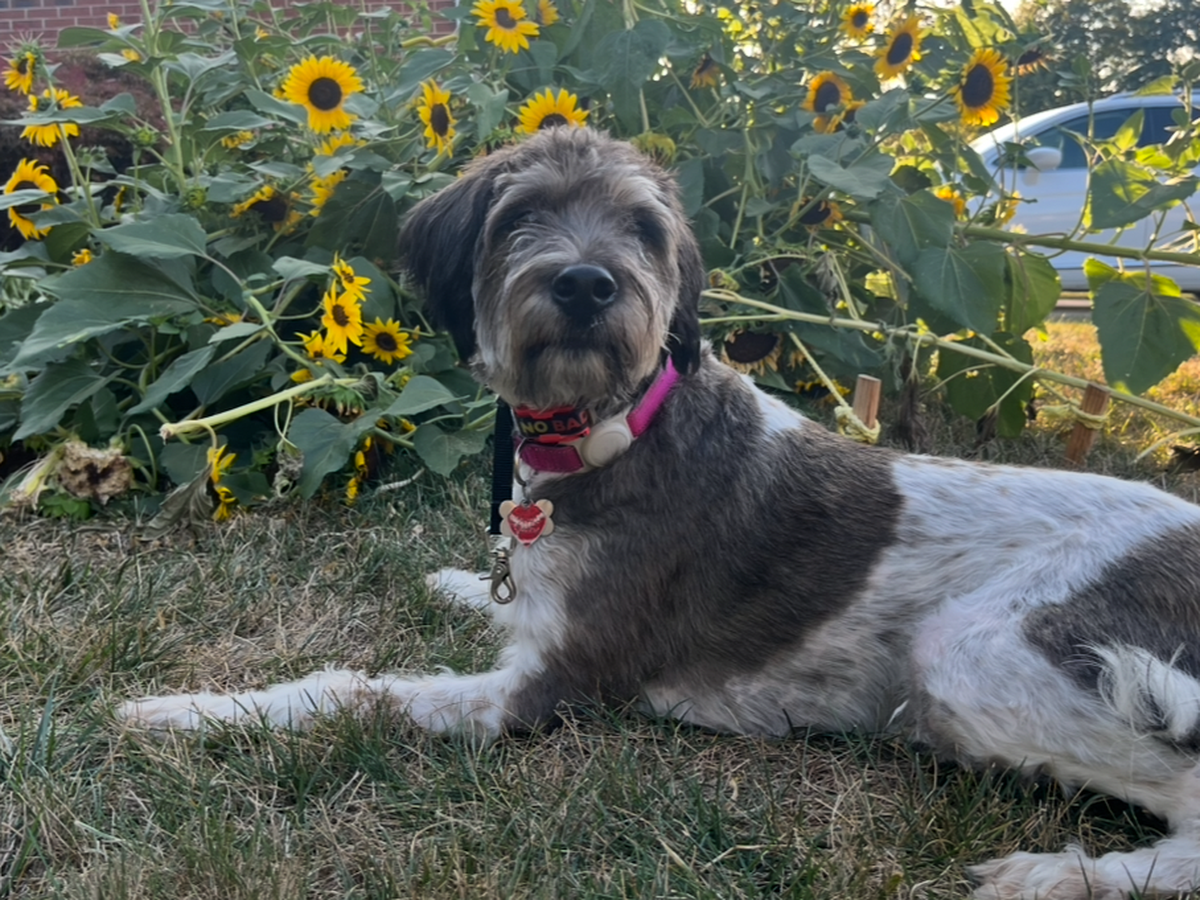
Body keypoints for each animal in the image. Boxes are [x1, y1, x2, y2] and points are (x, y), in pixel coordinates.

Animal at [121, 127, 1200, 899]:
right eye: (522, 214)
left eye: (642, 228)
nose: (586, 282)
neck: (614, 427)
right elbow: (493, 599)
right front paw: (457, 581)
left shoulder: (545, 690)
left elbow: (347, 692)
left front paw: (191, 711)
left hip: (974, 654)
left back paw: (1061, 875)